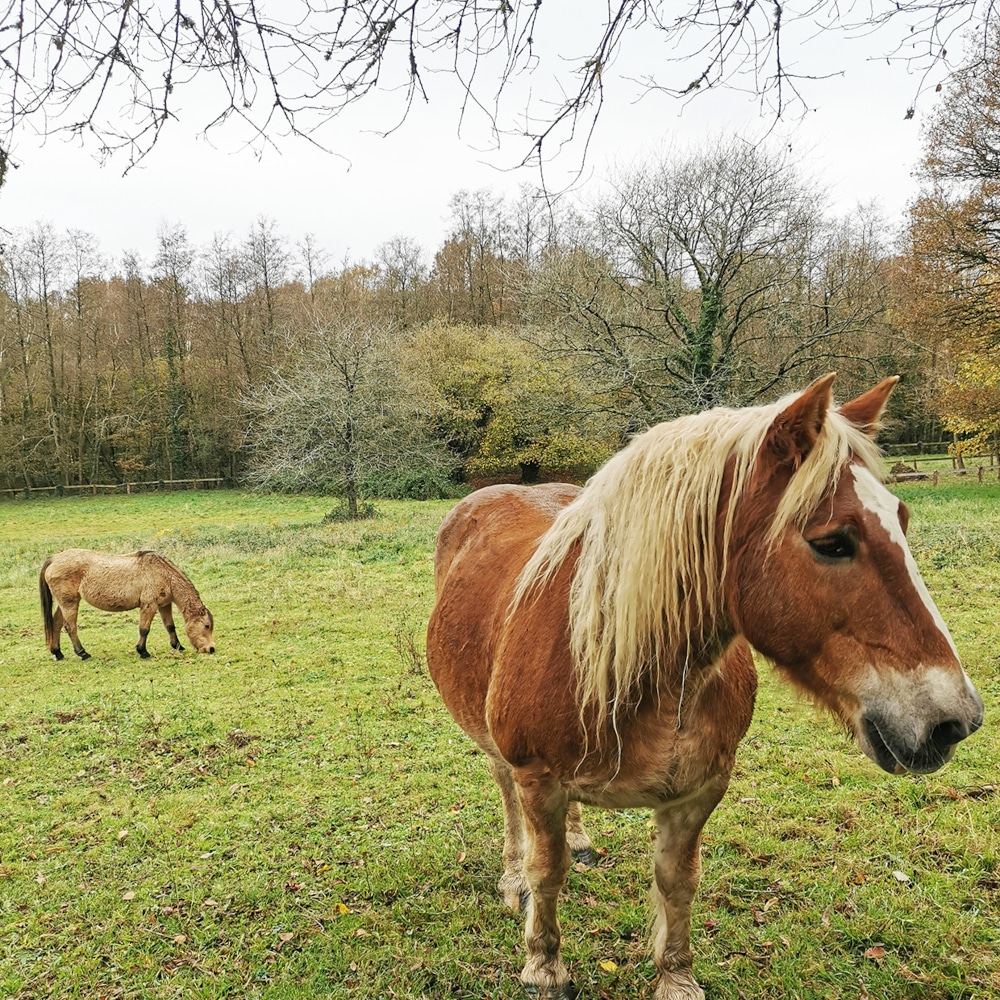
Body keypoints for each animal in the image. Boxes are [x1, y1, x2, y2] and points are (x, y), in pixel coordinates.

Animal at [42, 552, 217, 660]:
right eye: (206, 626)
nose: (211, 649)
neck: (162, 573)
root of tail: (54, 559)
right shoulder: (149, 605)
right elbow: (144, 629)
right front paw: (143, 651)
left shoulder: (164, 605)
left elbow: (170, 626)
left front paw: (178, 646)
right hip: (69, 603)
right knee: (70, 627)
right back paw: (83, 653)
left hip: (64, 604)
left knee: (56, 624)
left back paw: (58, 653)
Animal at [424, 376, 984, 1000]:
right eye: (833, 542)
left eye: (902, 520)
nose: (955, 720)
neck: (646, 679)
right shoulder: (538, 779)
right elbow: (548, 875)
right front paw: (544, 967)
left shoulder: (699, 791)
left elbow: (678, 882)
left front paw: (676, 976)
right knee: (506, 795)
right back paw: (512, 877)